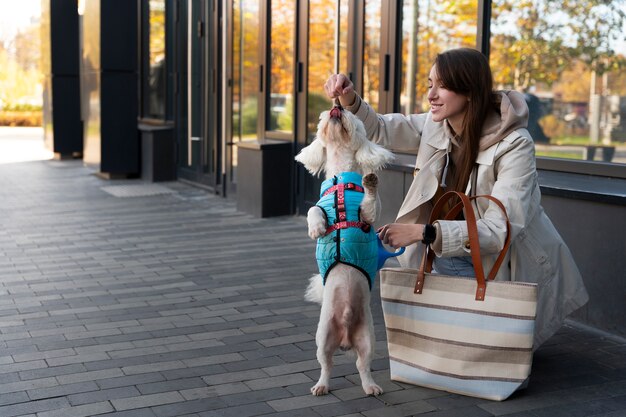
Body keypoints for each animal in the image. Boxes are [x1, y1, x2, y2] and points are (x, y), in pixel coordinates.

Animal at [294, 100, 392, 394]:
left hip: (368, 337)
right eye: (325, 115)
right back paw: (321, 386)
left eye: (353, 118)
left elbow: (370, 205)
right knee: (327, 365)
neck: (340, 180)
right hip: (323, 336)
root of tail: (346, 331)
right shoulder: (319, 204)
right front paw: (316, 227)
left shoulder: (370, 216)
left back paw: (371, 387)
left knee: (363, 365)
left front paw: (370, 183)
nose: (338, 104)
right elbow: (313, 209)